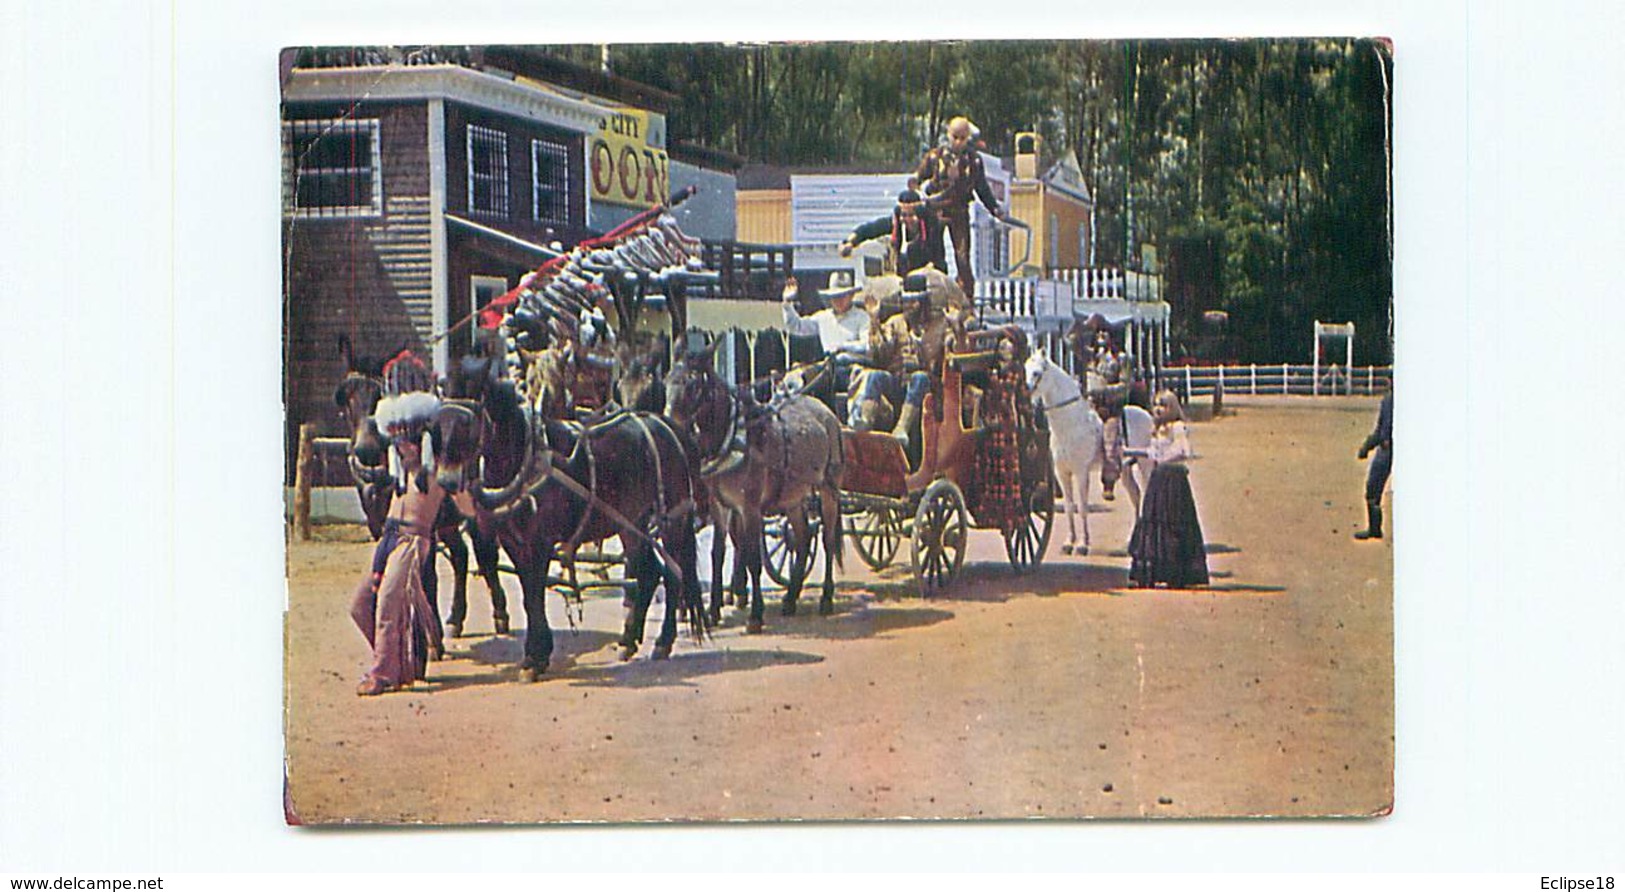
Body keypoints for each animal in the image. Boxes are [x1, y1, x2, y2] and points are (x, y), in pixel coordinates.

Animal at [331, 331, 503, 633]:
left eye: (378, 397)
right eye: (347, 398)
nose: (365, 450)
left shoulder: (426, 526)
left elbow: (427, 576)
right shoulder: (379, 523)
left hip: (472, 513)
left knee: (485, 553)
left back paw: (500, 614)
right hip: (447, 521)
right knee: (460, 555)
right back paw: (456, 617)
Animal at [438, 350, 705, 679]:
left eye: (467, 422)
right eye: (437, 419)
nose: (446, 481)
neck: (527, 462)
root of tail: (670, 427)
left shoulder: (540, 542)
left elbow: (534, 594)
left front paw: (534, 657)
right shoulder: (514, 542)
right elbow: (528, 593)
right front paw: (538, 654)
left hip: (672, 519)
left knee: (674, 574)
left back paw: (663, 642)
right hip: (633, 522)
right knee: (650, 573)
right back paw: (628, 641)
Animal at [1014, 349, 1157, 552]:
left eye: (1037, 373)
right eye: (1025, 369)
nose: (1023, 396)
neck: (1071, 424)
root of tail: (1148, 416)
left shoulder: (1081, 472)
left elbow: (1082, 507)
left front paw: (1082, 544)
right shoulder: (1062, 473)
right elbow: (1069, 506)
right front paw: (1069, 542)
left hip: (1145, 465)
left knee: (1145, 495)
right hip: (1126, 469)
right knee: (1136, 495)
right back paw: (1132, 542)